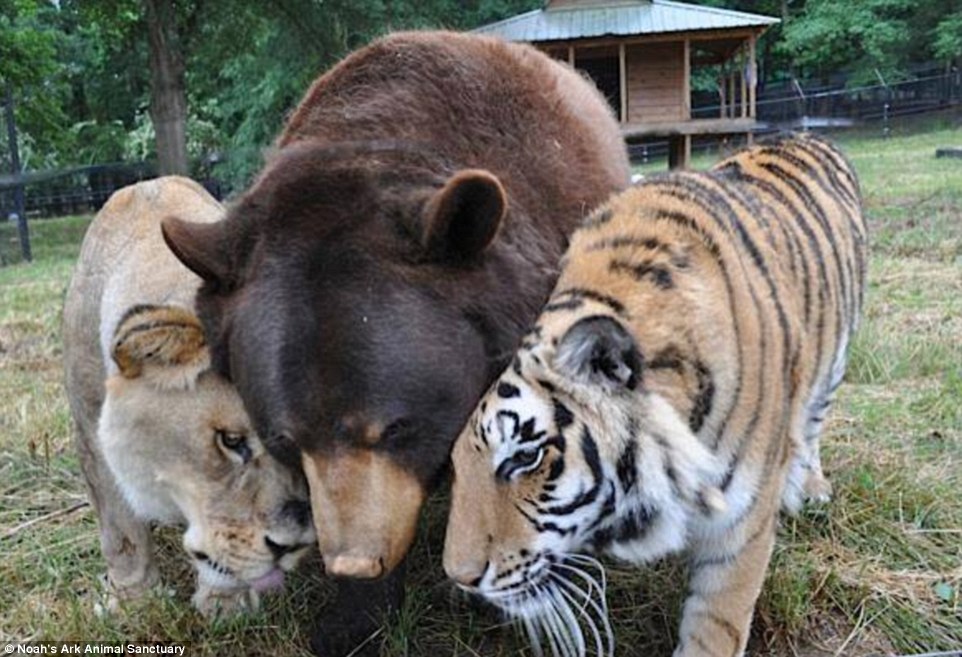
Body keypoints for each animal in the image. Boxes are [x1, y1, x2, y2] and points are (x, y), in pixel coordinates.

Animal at [62, 176, 316, 616]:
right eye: (231, 441)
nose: (293, 545)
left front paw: (226, 603)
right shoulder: (89, 427)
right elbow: (119, 528)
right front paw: (133, 601)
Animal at [446, 133, 868, 656]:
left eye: (525, 458)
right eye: (456, 465)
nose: (459, 578)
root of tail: (805, 134)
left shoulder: (741, 526)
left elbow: (716, 627)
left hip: (835, 361)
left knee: (811, 424)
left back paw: (809, 488)